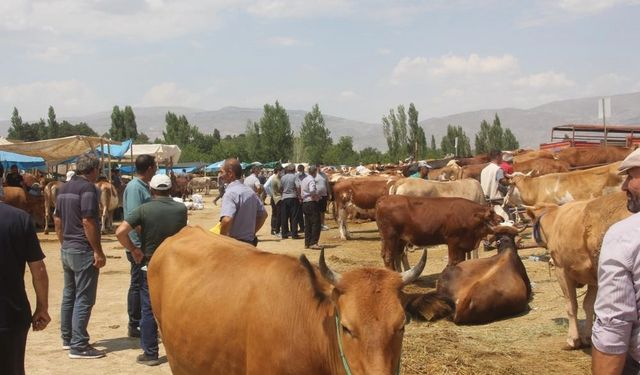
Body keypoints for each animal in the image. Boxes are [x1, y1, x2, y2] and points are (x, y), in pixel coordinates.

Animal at [372, 195, 502, 272]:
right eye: (494, 217)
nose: (502, 219)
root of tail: (384, 199)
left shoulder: (462, 245)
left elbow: (461, 261)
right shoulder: (453, 241)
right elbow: (453, 261)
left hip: (398, 239)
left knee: (394, 255)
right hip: (390, 237)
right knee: (389, 256)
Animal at [524, 192, 632, 352]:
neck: (554, 219)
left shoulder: (561, 270)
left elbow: (571, 305)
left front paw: (573, 340)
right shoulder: (594, 277)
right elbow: (589, 305)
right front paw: (587, 337)